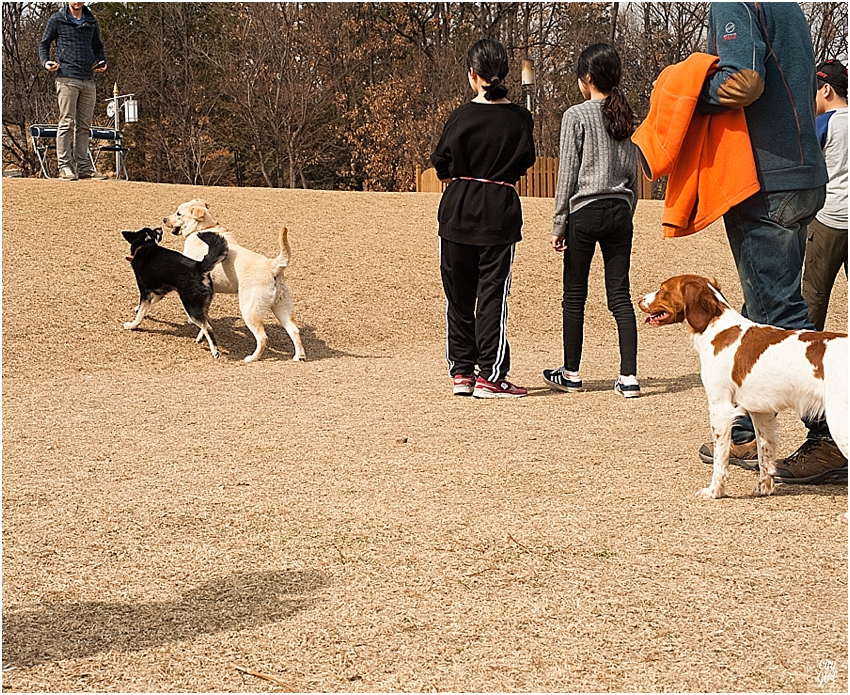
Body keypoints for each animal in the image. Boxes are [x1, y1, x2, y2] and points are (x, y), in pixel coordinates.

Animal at [122, 228, 227, 358]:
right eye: (154, 231)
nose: (160, 228)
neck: (143, 247)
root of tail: (198, 267)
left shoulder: (145, 292)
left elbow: (141, 313)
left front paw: (133, 325)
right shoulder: (159, 292)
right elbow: (147, 306)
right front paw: (140, 310)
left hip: (190, 305)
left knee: (207, 327)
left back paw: (214, 350)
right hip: (201, 304)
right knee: (208, 322)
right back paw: (200, 338)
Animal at [162, 198, 304, 364]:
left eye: (178, 213)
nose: (164, 219)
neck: (203, 228)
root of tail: (272, 266)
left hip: (249, 310)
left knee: (262, 337)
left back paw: (251, 358)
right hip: (282, 308)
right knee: (294, 330)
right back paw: (299, 356)